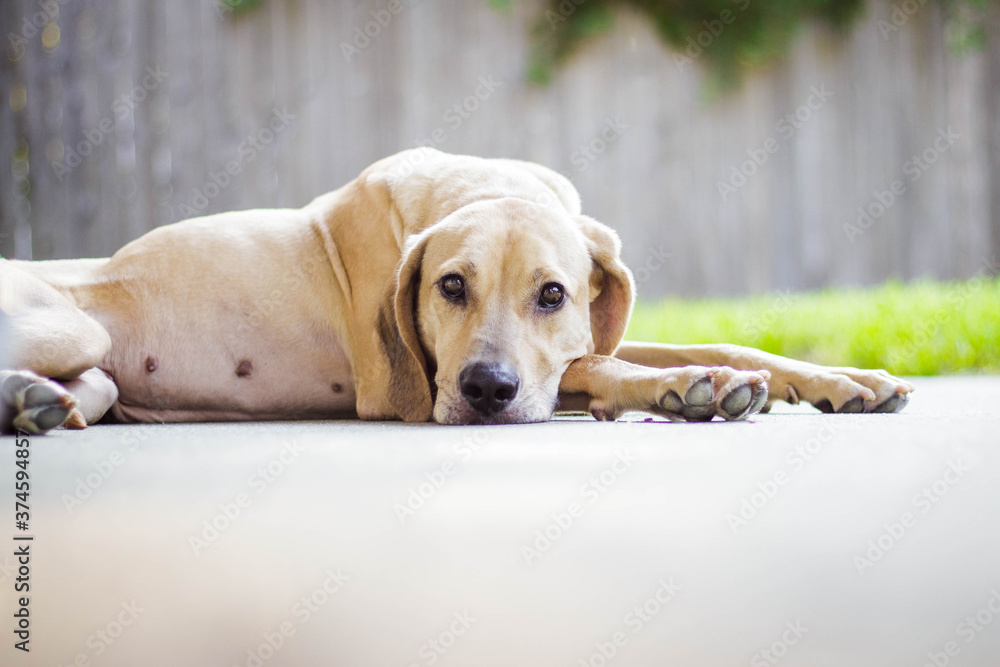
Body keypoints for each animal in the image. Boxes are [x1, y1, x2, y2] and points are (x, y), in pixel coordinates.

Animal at [0, 149, 916, 436]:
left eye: (553, 293)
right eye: (450, 286)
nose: (484, 390)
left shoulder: (591, 329)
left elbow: (702, 340)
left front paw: (843, 381)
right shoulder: (406, 386)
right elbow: (589, 368)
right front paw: (693, 389)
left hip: (96, 373)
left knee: (86, 391)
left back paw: (29, 402)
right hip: (72, 329)